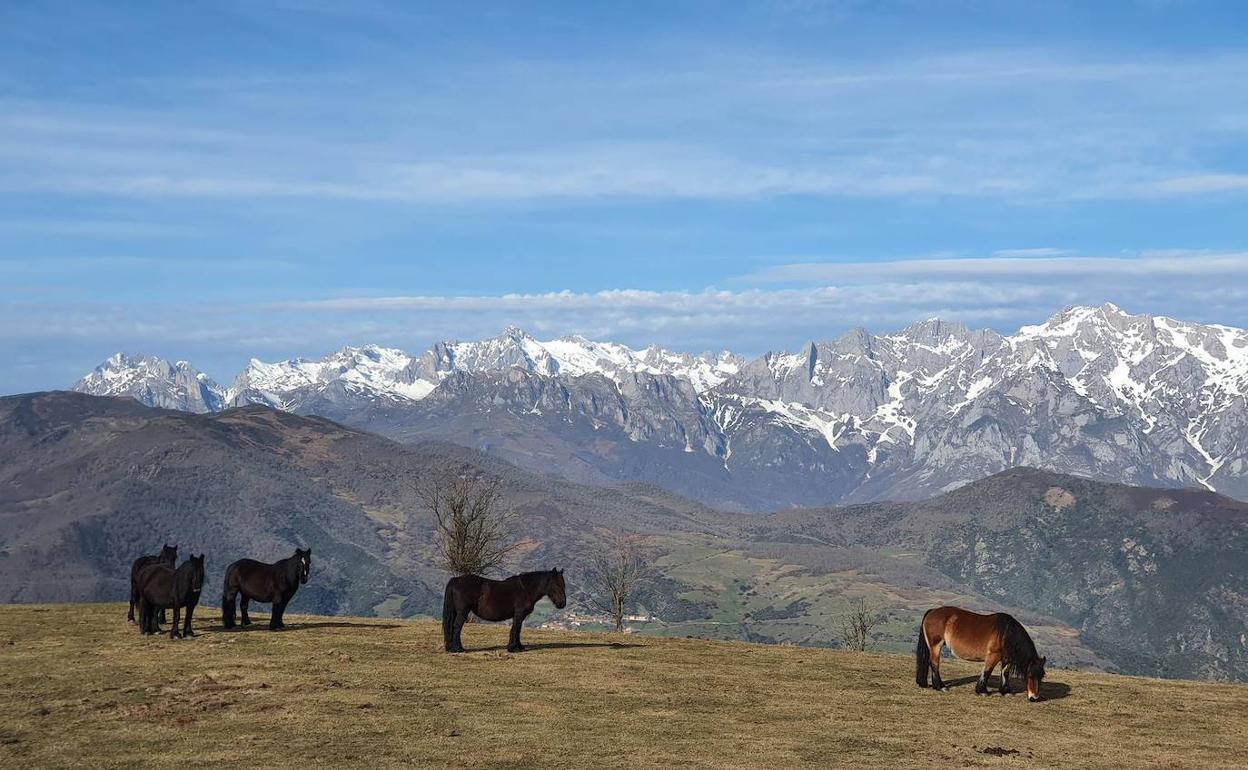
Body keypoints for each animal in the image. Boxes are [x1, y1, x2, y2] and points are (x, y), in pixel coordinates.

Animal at [913, 606, 1048, 703]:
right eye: (1029, 675)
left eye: (1041, 676)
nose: (1034, 698)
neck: (1006, 634)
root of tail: (932, 611)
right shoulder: (993, 656)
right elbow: (987, 672)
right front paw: (982, 691)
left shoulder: (1006, 659)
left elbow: (1005, 673)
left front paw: (1005, 691)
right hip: (936, 646)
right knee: (934, 664)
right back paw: (940, 687)